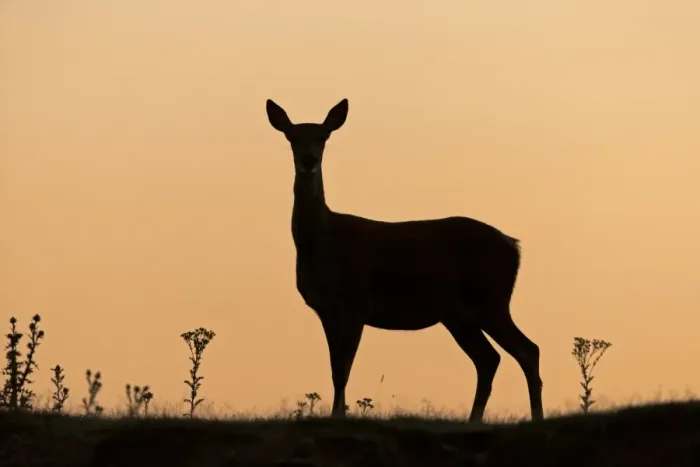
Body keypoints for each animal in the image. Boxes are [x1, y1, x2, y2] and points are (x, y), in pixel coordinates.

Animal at [265, 98, 544, 423]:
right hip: (458, 314)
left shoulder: (356, 304)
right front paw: (337, 415)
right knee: (489, 358)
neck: (324, 243)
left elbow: (344, 369)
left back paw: (536, 417)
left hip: (491, 299)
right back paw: (475, 419)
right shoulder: (326, 310)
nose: (308, 160)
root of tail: (514, 245)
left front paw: (339, 417)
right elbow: (336, 370)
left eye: (323, 137)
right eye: (292, 137)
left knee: (528, 350)